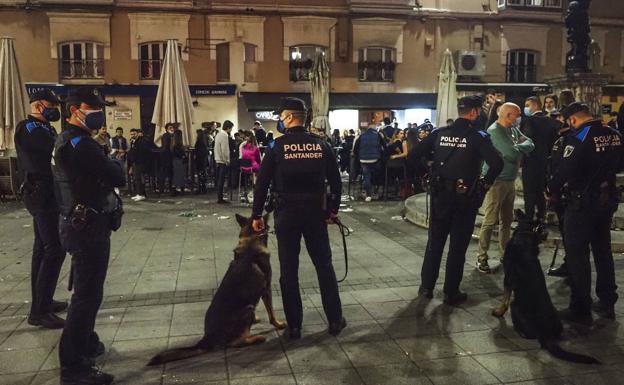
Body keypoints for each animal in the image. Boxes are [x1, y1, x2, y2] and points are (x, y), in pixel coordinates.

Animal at [147, 214, 286, 364]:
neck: (251, 239)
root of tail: (206, 340)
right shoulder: (266, 289)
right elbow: (271, 313)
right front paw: (278, 324)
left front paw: (257, 319)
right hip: (248, 308)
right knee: (235, 342)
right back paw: (256, 338)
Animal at [492, 210, 600, 364]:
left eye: (526, 214)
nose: (518, 209)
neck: (526, 233)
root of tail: (546, 334)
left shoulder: (508, 279)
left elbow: (504, 300)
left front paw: (498, 312)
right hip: (557, 323)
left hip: (515, 306)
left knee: (528, 333)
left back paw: (520, 332)